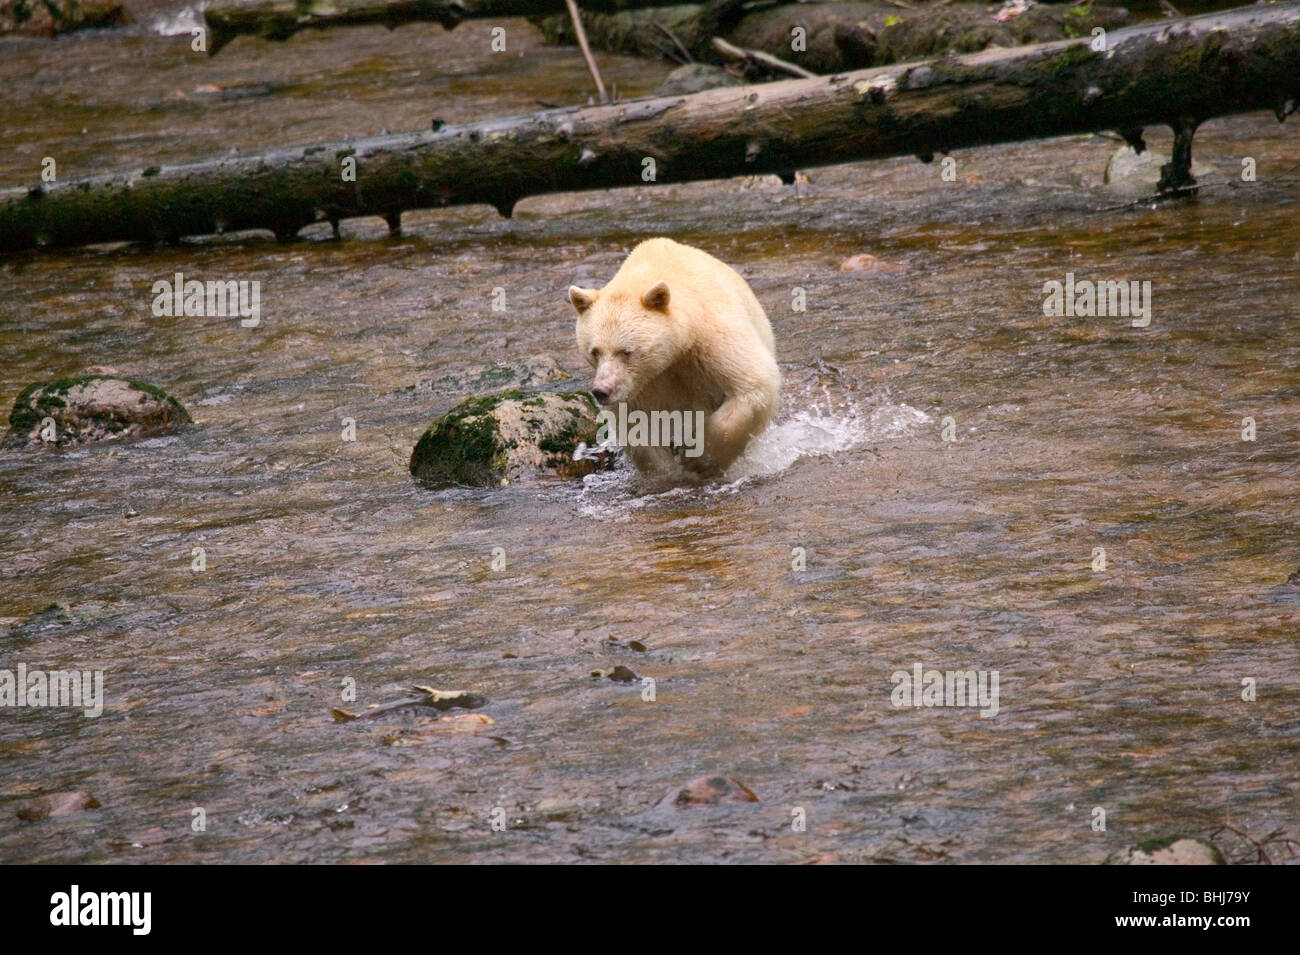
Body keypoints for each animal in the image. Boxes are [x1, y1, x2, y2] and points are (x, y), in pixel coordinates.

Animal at [572, 239, 780, 478]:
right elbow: (637, 425)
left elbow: (752, 385)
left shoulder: (712, 342)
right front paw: (668, 469)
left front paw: (700, 459)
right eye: (594, 351)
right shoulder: (642, 385)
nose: (601, 391)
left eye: (625, 351)